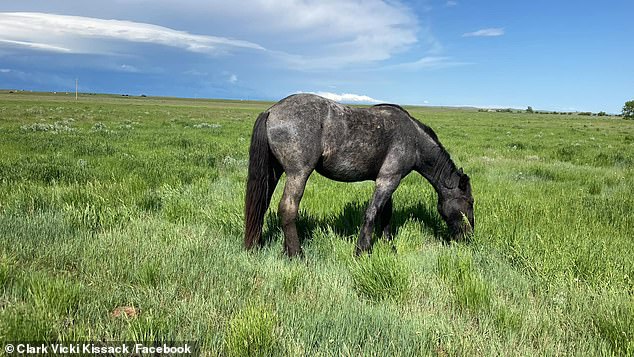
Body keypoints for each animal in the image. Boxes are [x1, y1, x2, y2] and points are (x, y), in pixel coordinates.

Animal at [244, 93, 472, 256]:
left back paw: (263, 246)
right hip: (298, 174)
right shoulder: (388, 179)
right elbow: (371, 213)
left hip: (274, 172)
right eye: (469, 202)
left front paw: (388, 246)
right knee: (287, 209)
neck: (414, 139)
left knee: (262, 206)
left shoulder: (387, 180)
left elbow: (385, 214)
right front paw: (362, 250)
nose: (469, 237)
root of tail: (271, 110)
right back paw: (297, 254)